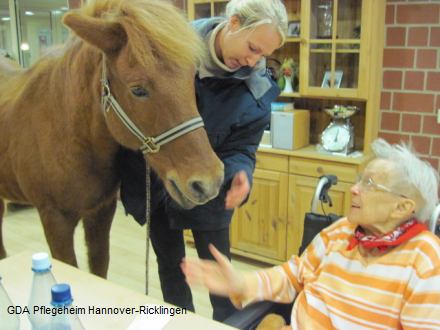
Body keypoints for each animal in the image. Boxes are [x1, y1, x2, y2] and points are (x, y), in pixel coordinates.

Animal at [0, 0, 223, 278]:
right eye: (138, 90)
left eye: (191, 78)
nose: (209, 182)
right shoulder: (55, 220)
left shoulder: (101, 213)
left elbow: (99, 267)